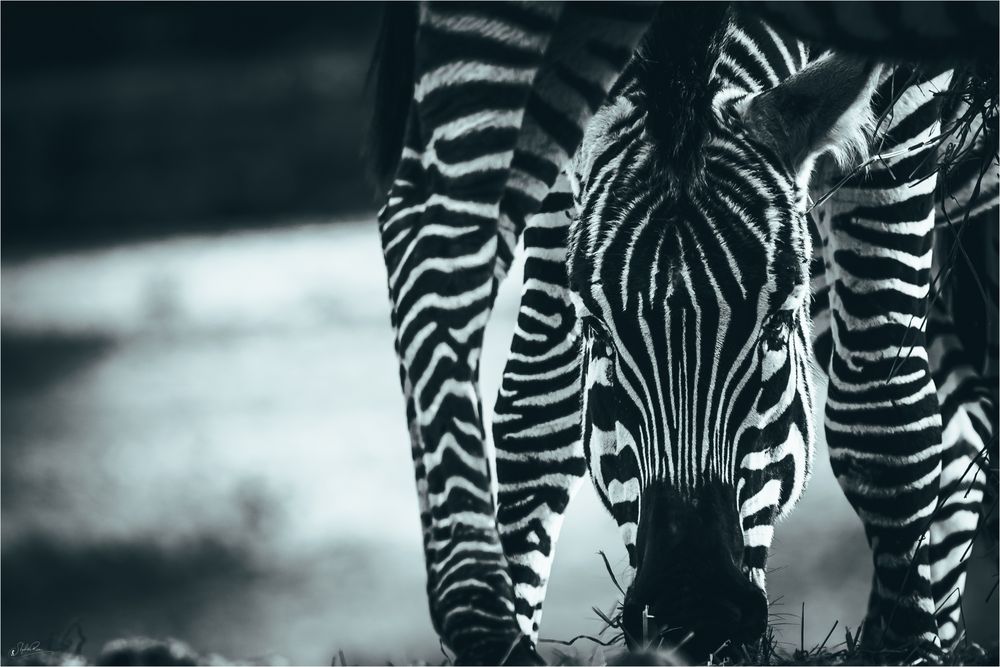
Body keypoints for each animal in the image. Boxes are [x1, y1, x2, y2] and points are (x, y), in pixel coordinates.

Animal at [372, 2, 996, 664]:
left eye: (777, 328)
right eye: (598, 333)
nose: (694, 611)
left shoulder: (908, 109)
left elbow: (884, 417)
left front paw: (905, 645)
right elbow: (532, 409)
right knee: (964, 415)